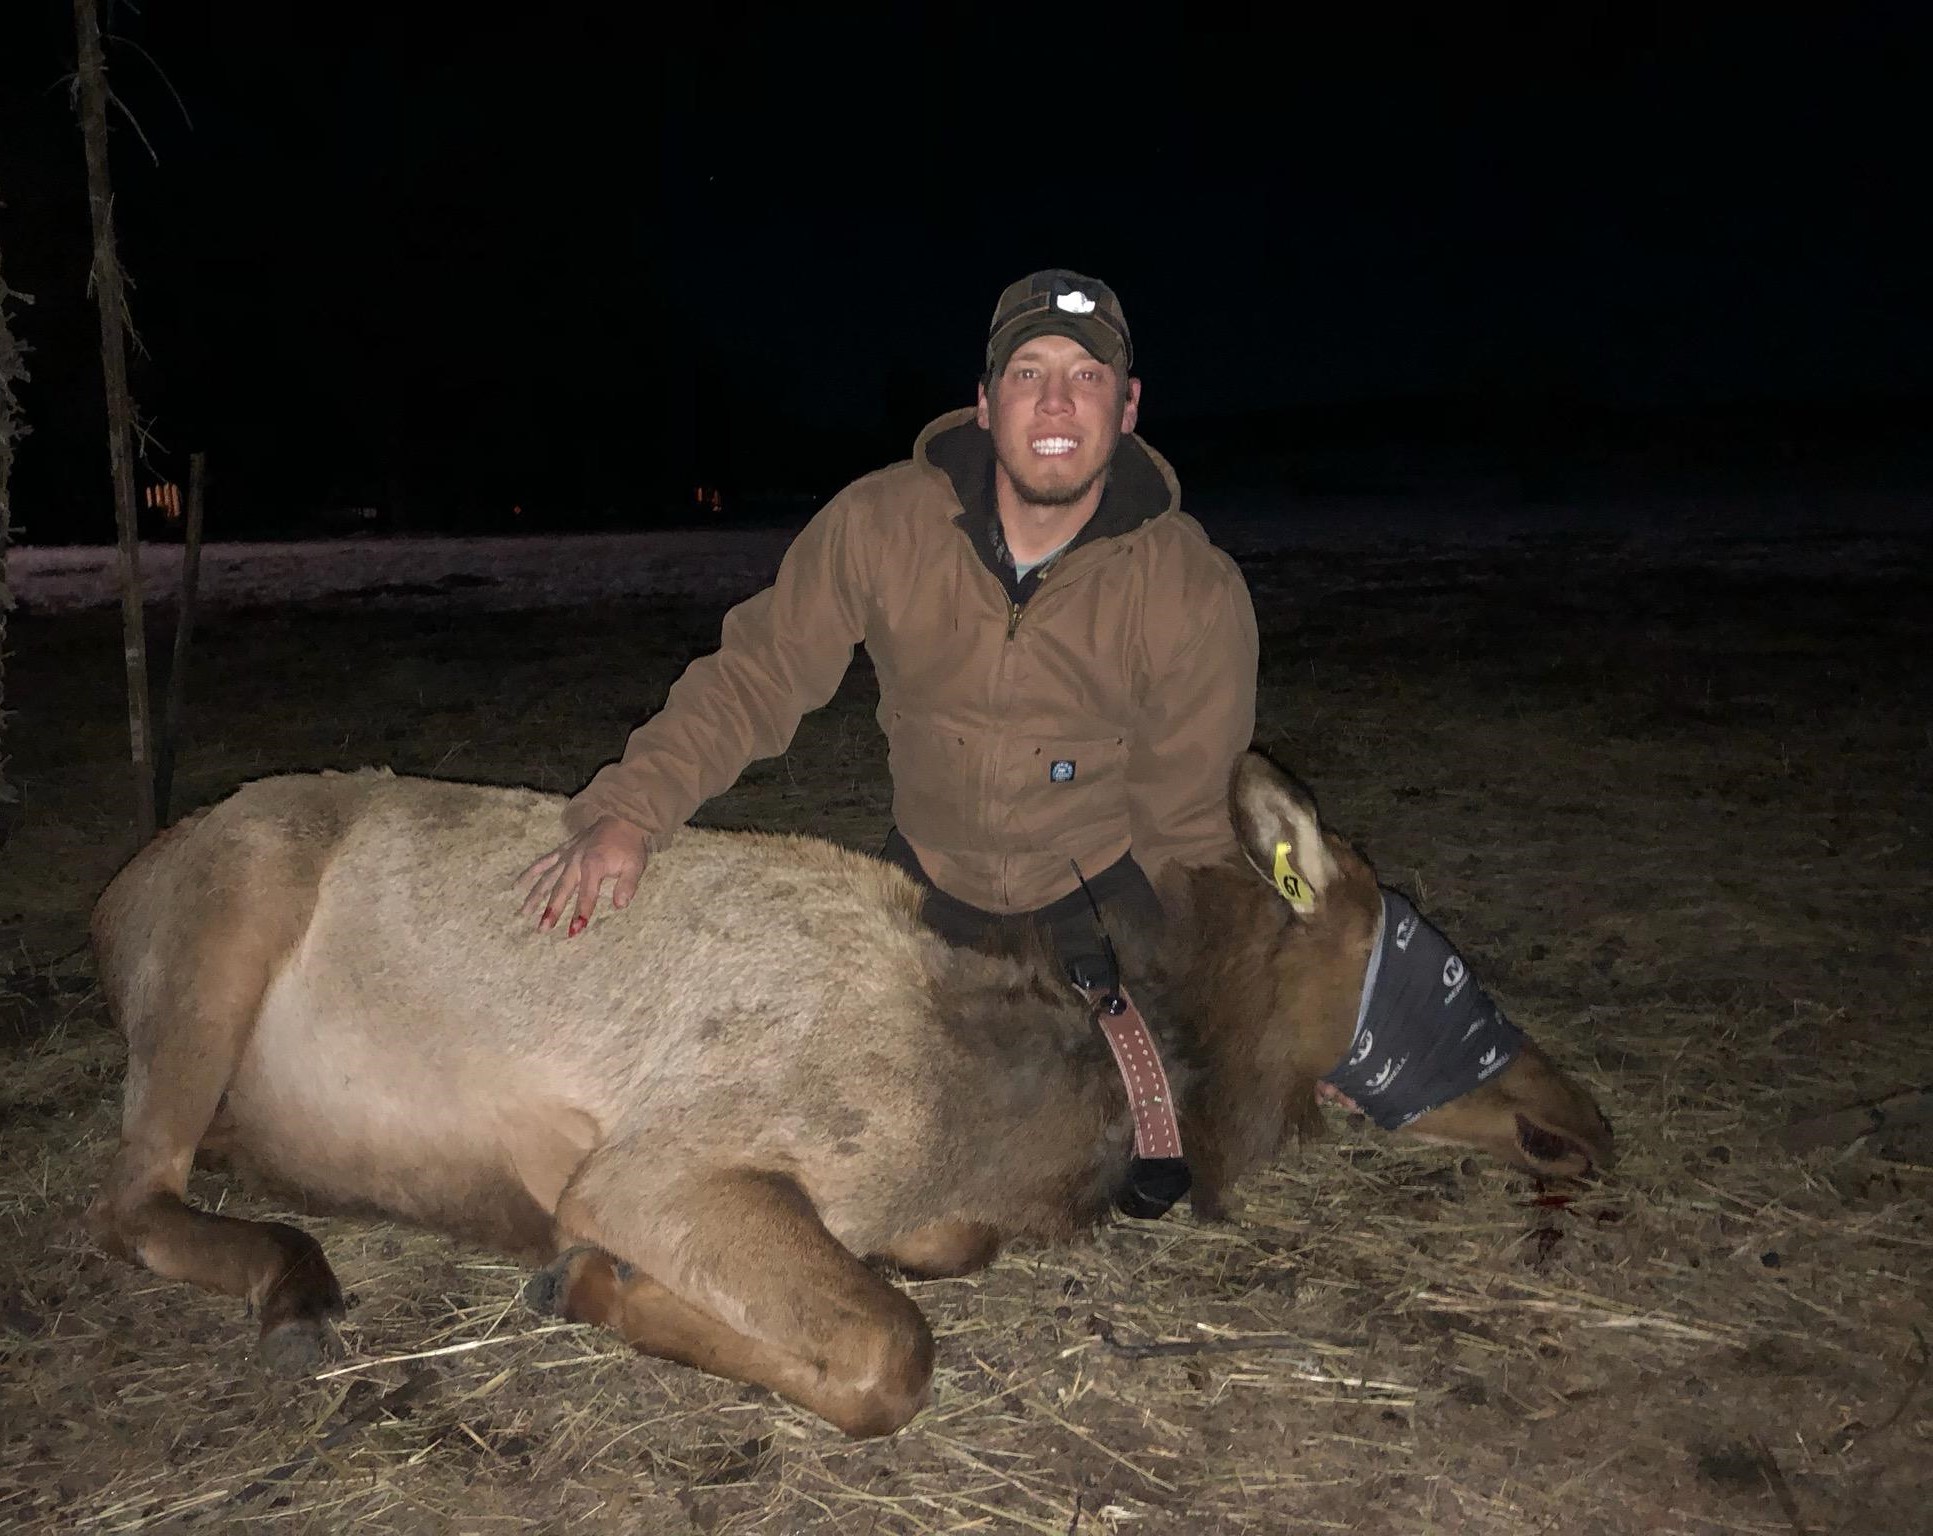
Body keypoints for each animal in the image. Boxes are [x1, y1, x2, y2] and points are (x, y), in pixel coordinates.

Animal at [83, 749, 1608, 1437]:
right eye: (1440, 964)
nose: (1587, 1119)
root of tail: (117, 887)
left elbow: (922, 1273)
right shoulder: (655, 1161)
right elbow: (888, 1350)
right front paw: (594, 1282)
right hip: (220, 935)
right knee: (127, 1198)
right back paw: (292, 1286)